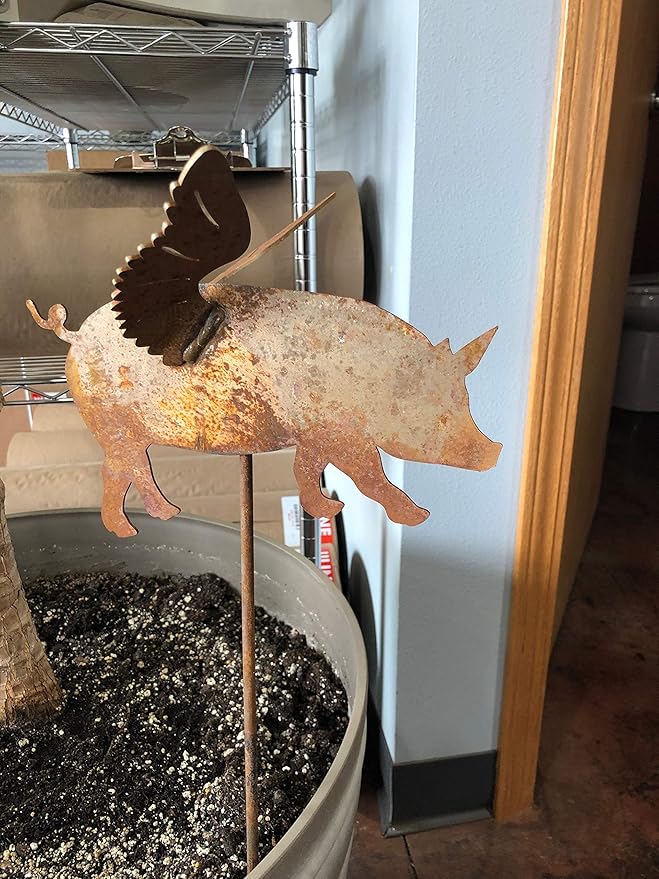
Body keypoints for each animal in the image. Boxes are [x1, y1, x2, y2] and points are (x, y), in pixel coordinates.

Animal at [27, 286, 501, 538]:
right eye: (439, 413)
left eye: (466, 401)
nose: (495, 452)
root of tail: (74, 336)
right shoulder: (343, 436)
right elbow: (370, 479)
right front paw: (416, 517)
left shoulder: (316, 437)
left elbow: (305, 471)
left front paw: (329, 509)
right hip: (114, 425)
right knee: (117, 471)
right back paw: (134, 529)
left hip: (129, 434)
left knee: (132, 471)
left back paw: (163, 516)